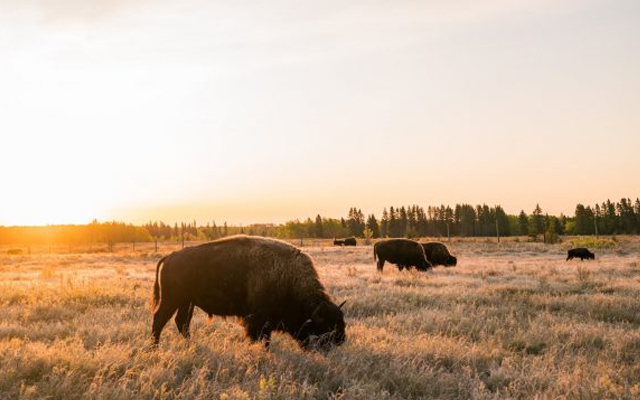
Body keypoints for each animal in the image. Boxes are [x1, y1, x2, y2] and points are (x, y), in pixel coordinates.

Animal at [151, 234, 344, 350]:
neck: (288, 278)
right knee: (160, 319)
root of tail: (170, 257)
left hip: (186, 302)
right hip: (171, 299)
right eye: (326, 327)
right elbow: (260, 338)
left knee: (182, 322)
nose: (341, 340)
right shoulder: (258, 319)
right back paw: (155, 347)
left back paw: (191, 344)